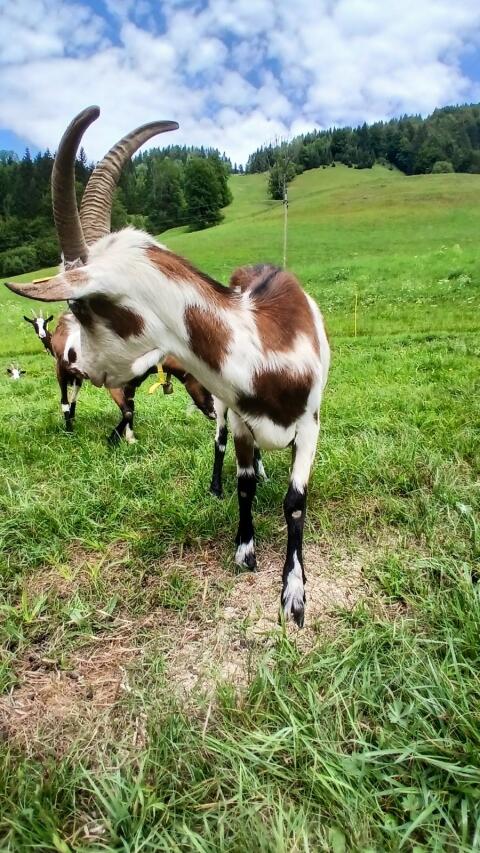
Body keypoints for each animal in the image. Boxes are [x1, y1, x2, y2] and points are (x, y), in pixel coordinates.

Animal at [24, 309, 214, 440]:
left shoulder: (132, 384)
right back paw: (69, 431)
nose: (214, 414)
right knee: (64, 400)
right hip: (60, 370)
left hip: (77, 375)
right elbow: (128, 412)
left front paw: (129, 438)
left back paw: (72, 418)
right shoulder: (114, 384)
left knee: (74, 397)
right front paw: (112, 439)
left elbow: (131, 408)